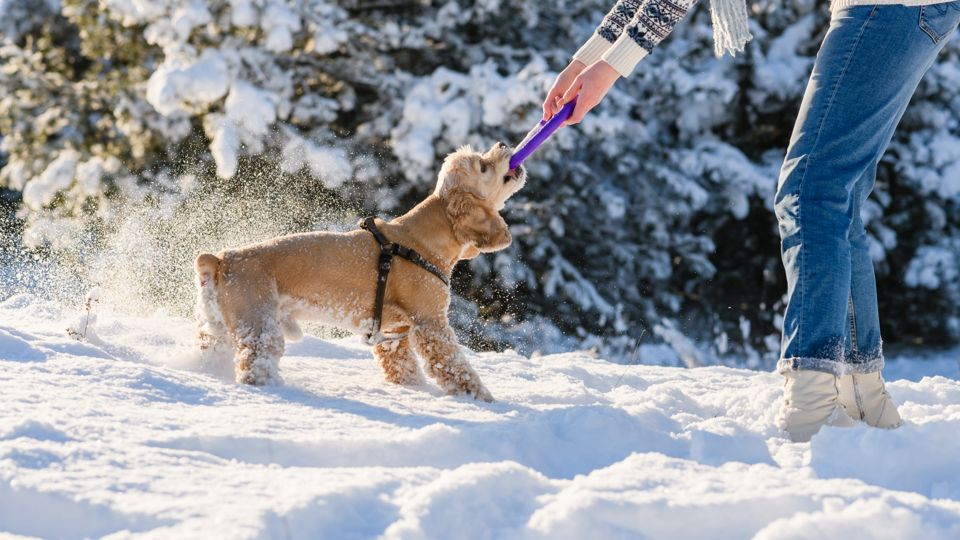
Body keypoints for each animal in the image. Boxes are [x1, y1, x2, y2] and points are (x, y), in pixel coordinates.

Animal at [194, 142, 524, 400]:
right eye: (483, 166)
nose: (503, 144)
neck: (422, 239)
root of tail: (221, 258)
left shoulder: (394, 333)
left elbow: (403, 367)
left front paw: (412, 392)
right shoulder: (431, 324)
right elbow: (456, 367)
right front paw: (482, 399)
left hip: (220, 326)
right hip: (259, 325)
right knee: (254, 367)